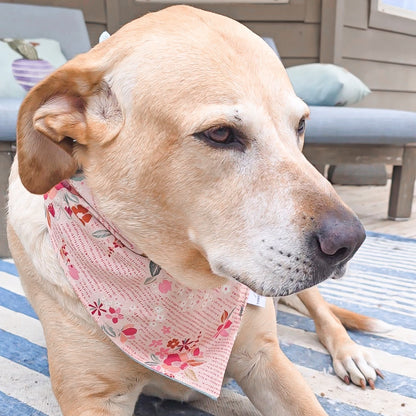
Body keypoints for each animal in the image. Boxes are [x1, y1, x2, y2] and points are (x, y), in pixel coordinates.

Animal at [6, 6, 384, 416]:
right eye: (219, 134)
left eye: (300, 125)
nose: (351, 242)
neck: (176, 278)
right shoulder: (92, 398)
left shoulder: (265, 359)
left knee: (325, 314)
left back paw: (351, 353)